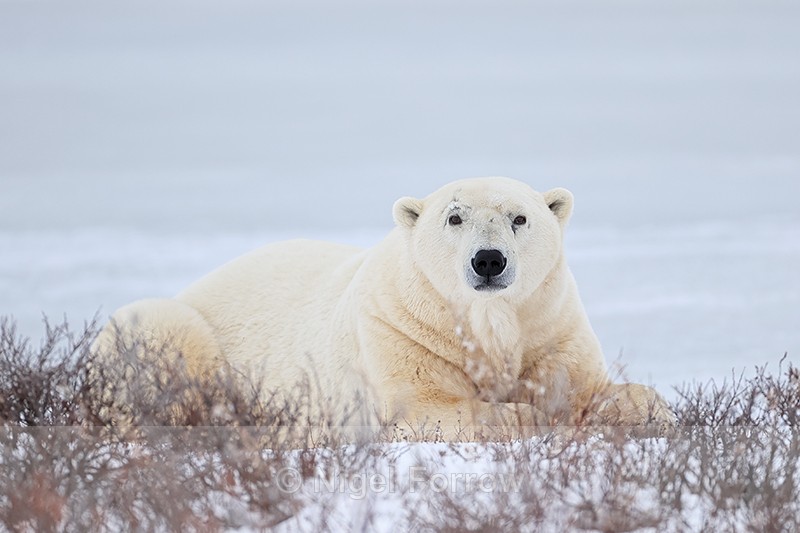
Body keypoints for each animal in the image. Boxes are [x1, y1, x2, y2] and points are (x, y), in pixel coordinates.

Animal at [93, 177, 675, 441]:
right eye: (454, 217)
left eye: (520, 218)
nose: (488, 260)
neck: (486, 321)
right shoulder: (400, 329)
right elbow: (426, 407)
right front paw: (530, 417)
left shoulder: (549, 325)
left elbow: (589, 387)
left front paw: (651, 411)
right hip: (169, 328)